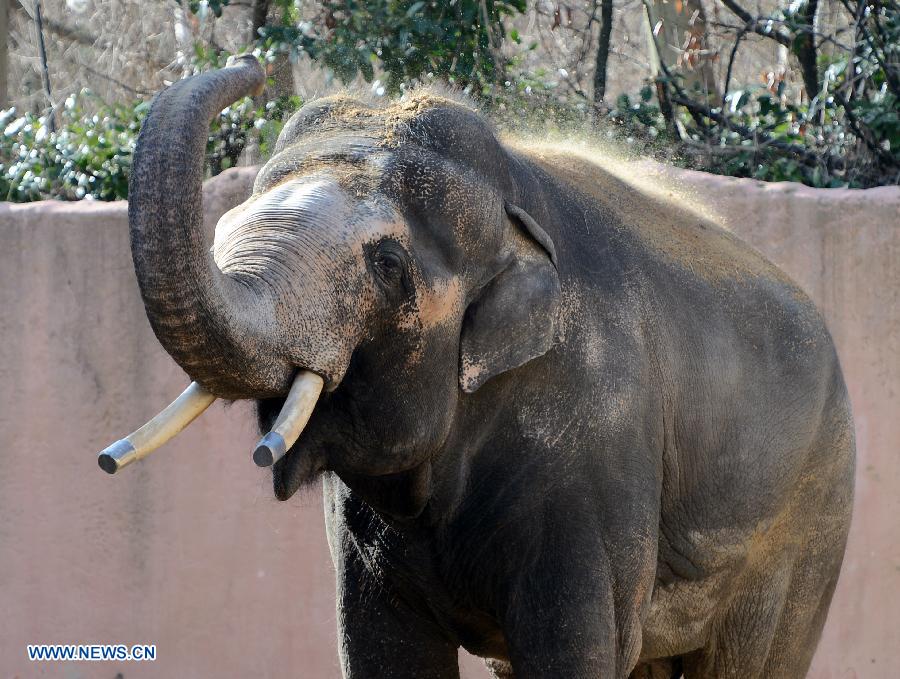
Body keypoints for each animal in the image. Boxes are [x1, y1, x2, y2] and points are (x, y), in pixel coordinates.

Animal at [125, 55, 852, 676]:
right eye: (226, 230)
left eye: (387, 264)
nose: (248, 64)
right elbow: (380, 650)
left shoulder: (594, 449)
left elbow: (575, 649)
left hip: (806, 525)